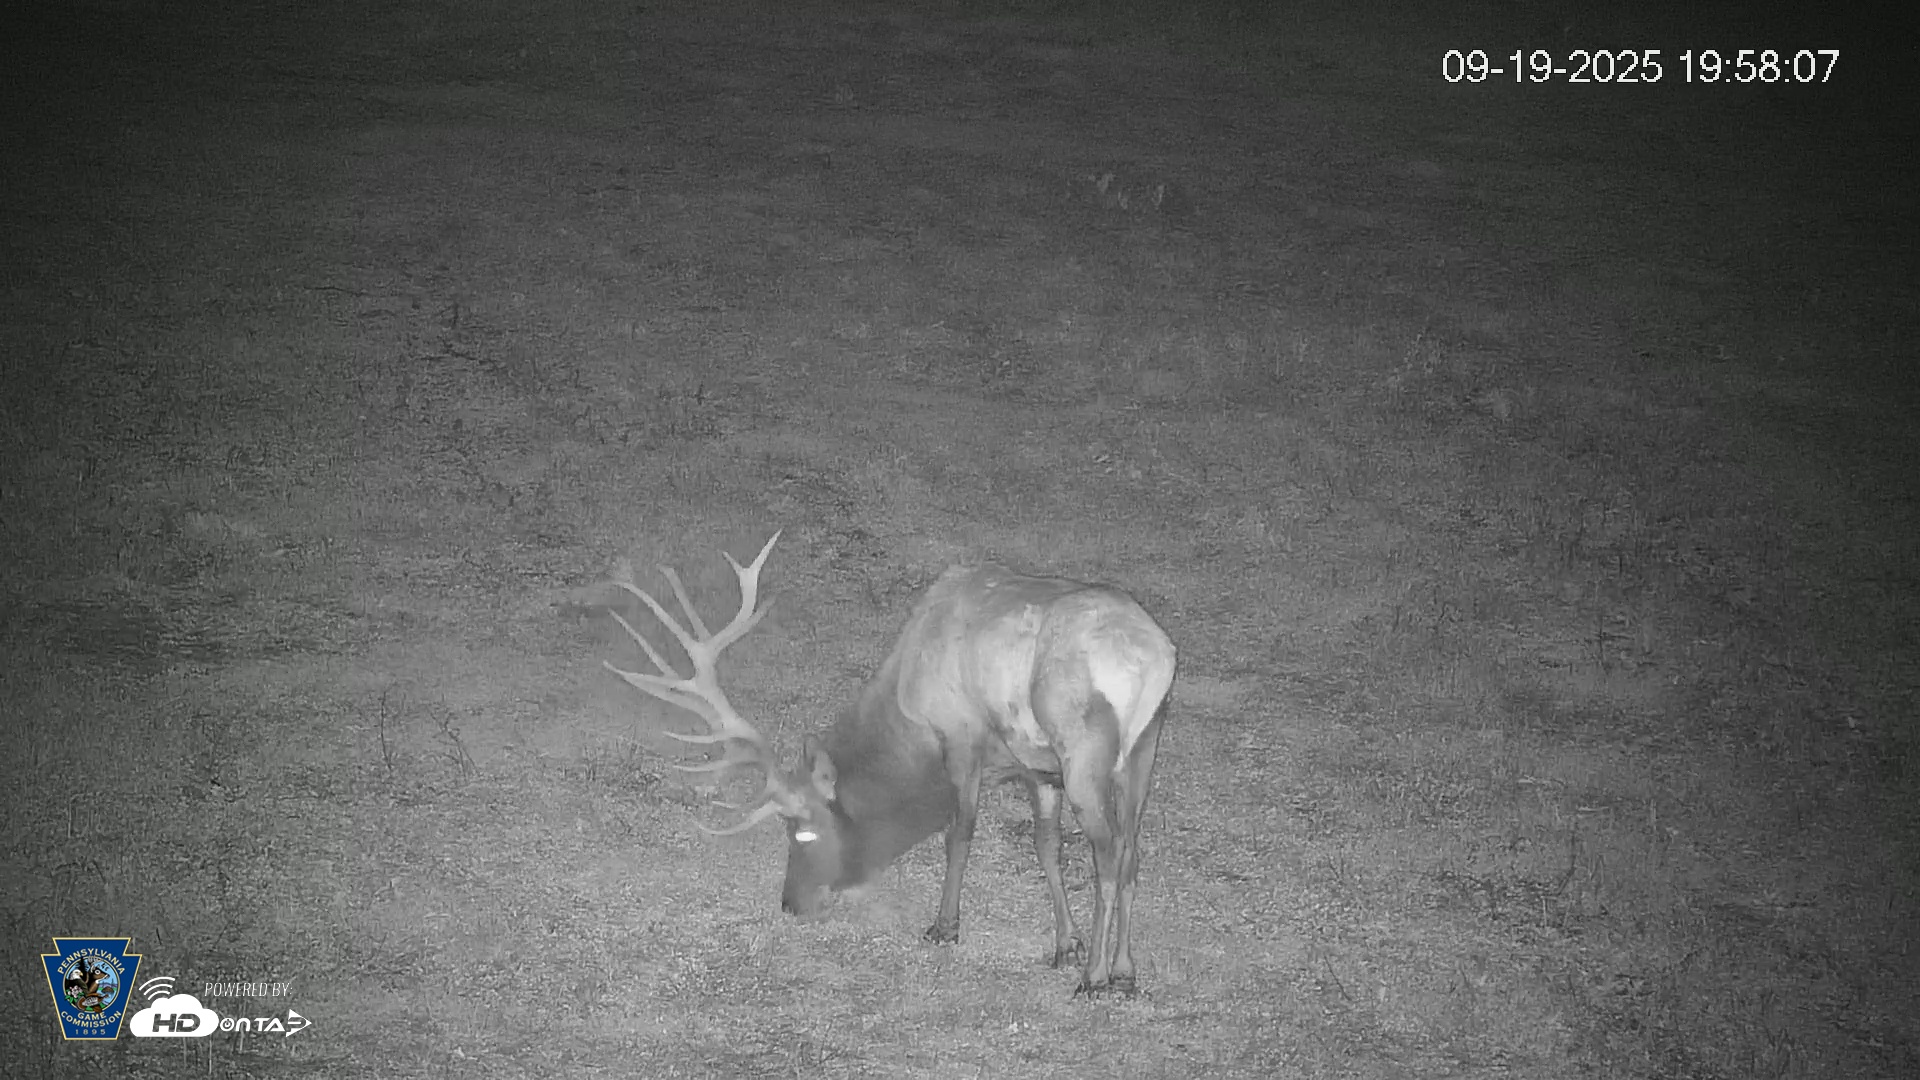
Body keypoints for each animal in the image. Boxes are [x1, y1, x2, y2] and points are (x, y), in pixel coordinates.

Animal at [604, 533, 1176, 996]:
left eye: (802, 832)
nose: (789, 902)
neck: (907, 711)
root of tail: (1156, 658)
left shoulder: (962, 736)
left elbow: (959, 833)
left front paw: (945, 927)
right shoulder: (1038, 766)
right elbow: (1047, 847)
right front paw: (1065, 943)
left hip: (1085, 750)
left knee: (1108, 855)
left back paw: (1096, 978)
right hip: (1142, 750)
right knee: (1132, 850)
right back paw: (1124, 972)